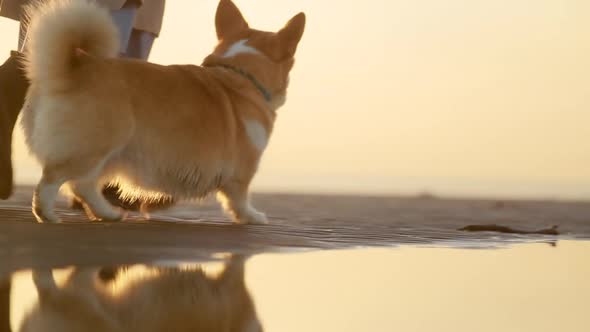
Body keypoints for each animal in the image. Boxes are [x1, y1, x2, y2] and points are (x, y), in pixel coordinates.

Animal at [20, 0, 308, 223]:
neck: (242, 73)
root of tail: (71, 68)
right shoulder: (243, 167)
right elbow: (240, 197)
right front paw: (252, 216)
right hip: (95, 147)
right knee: (57, 180)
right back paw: (47, 213)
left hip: (107, 153)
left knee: (84, 186)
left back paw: (108, 214)